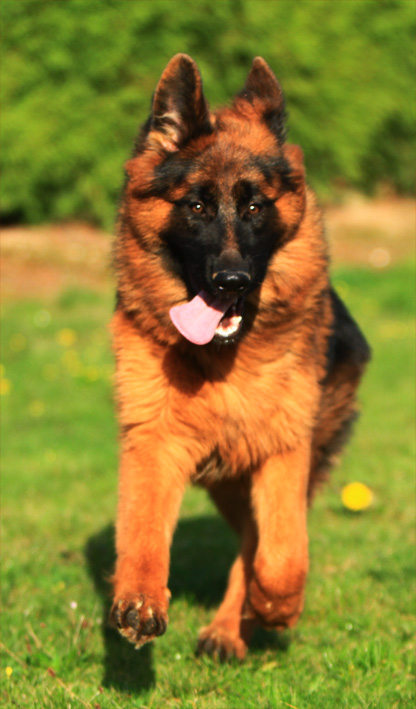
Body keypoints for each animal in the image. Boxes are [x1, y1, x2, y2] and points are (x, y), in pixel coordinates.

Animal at [110, 54, 370, 660]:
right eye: (196, 206)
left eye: (255, 206)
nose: (232, 281)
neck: (220, 362)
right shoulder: (153, 439)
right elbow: (142, 528)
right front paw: (139, 598)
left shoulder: (284, 448)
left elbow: (281, 553)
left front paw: (276, 608)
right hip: (225, 483)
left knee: (258, 544)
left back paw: (235, 625)